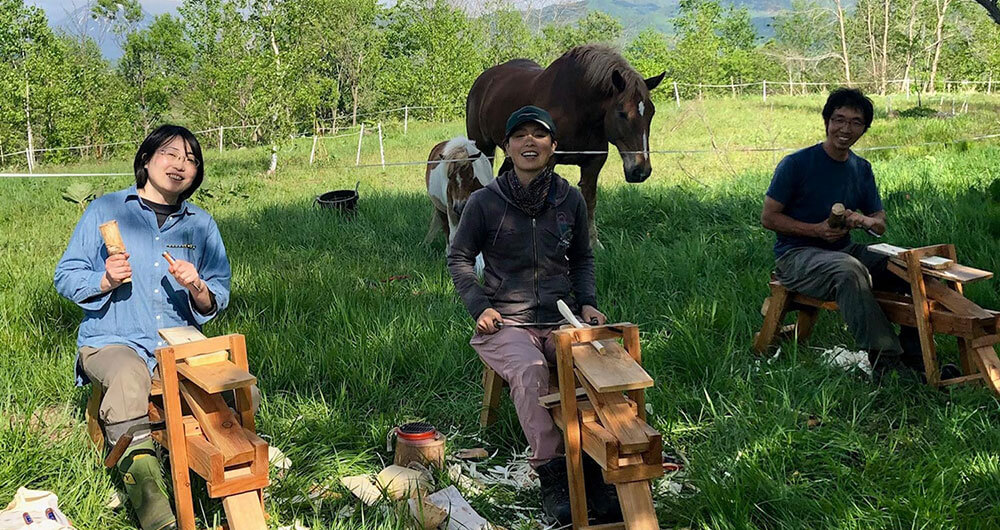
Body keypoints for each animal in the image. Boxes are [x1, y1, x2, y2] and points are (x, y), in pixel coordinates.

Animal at [466, 44, 664, 246]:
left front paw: (593, 243)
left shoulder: (594, 162)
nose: (641, 171)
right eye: (622, 113)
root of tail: (483, 80)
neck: (577, 107)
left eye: (651, 112)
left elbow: (589, 201)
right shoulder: (548, 161)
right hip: (483, 148)